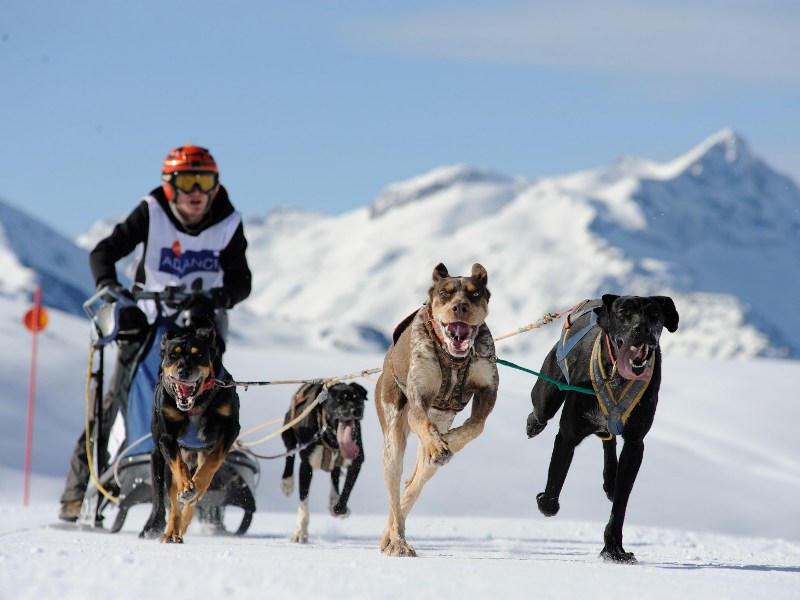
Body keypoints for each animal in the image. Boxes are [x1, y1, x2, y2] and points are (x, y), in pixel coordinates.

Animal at [139, 324, 239, 544]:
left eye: (198, 354)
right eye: (173, 355)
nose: (183, 370)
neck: (196, 405)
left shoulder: (231, 429)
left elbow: (212, 462)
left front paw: (197, 484)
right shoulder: (167, 439)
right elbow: (179, 466)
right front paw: (186, 486)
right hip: (162, 462)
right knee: (170, 499)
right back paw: (170, 531)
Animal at [280, 384, 368, 544]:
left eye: (358, 400)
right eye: (339, 401)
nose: (356, 411)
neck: (332, 440)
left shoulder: (356, 463)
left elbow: (345, 492)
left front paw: (339, 509)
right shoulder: (306, 466)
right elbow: (303, 503)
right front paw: (301, 532)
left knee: (335, 474)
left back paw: (333, 499)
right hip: (287, 432)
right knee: (290, 452)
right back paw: (287, 482)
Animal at [374, 262, 496, 556]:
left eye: (475, 293)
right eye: (445, 293)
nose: (460, 307)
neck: (453, 360)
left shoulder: (487, 389)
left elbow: (476, 426)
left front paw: (449, 440)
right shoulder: (419, 394)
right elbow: (423, 422)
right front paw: (439, 445)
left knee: (413, 485)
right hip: (392, 440)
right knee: (394, 495)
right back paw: (397, 541)